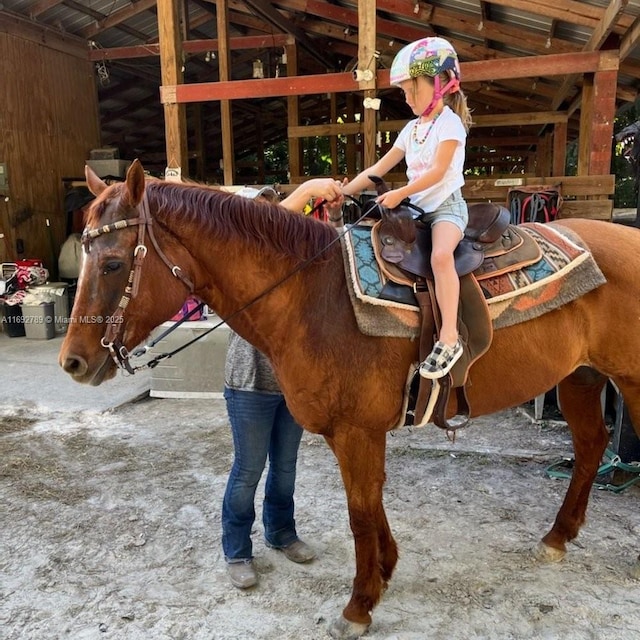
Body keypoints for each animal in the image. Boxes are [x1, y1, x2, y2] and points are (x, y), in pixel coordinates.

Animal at [60, 159, 640, 636]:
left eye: (112, 264)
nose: (73, 362)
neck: (314, 294)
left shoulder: (356, 431)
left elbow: (359, 512)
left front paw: (359, 606)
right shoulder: (357, 433)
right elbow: (371, 502)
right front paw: (385, 569)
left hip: (627, 381)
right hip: (580, 377)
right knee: (591, 446)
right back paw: (557, 537)